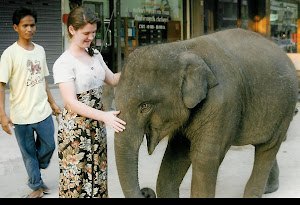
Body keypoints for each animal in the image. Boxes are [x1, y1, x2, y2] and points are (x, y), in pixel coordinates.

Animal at [113, 28, 298, 197]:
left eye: (145, 106)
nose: (145, 191)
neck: (181, 48)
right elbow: (175, 154)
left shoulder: (223, 102)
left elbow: (205, 159)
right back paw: (270, 189)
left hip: (286, 107)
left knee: (268, 148)